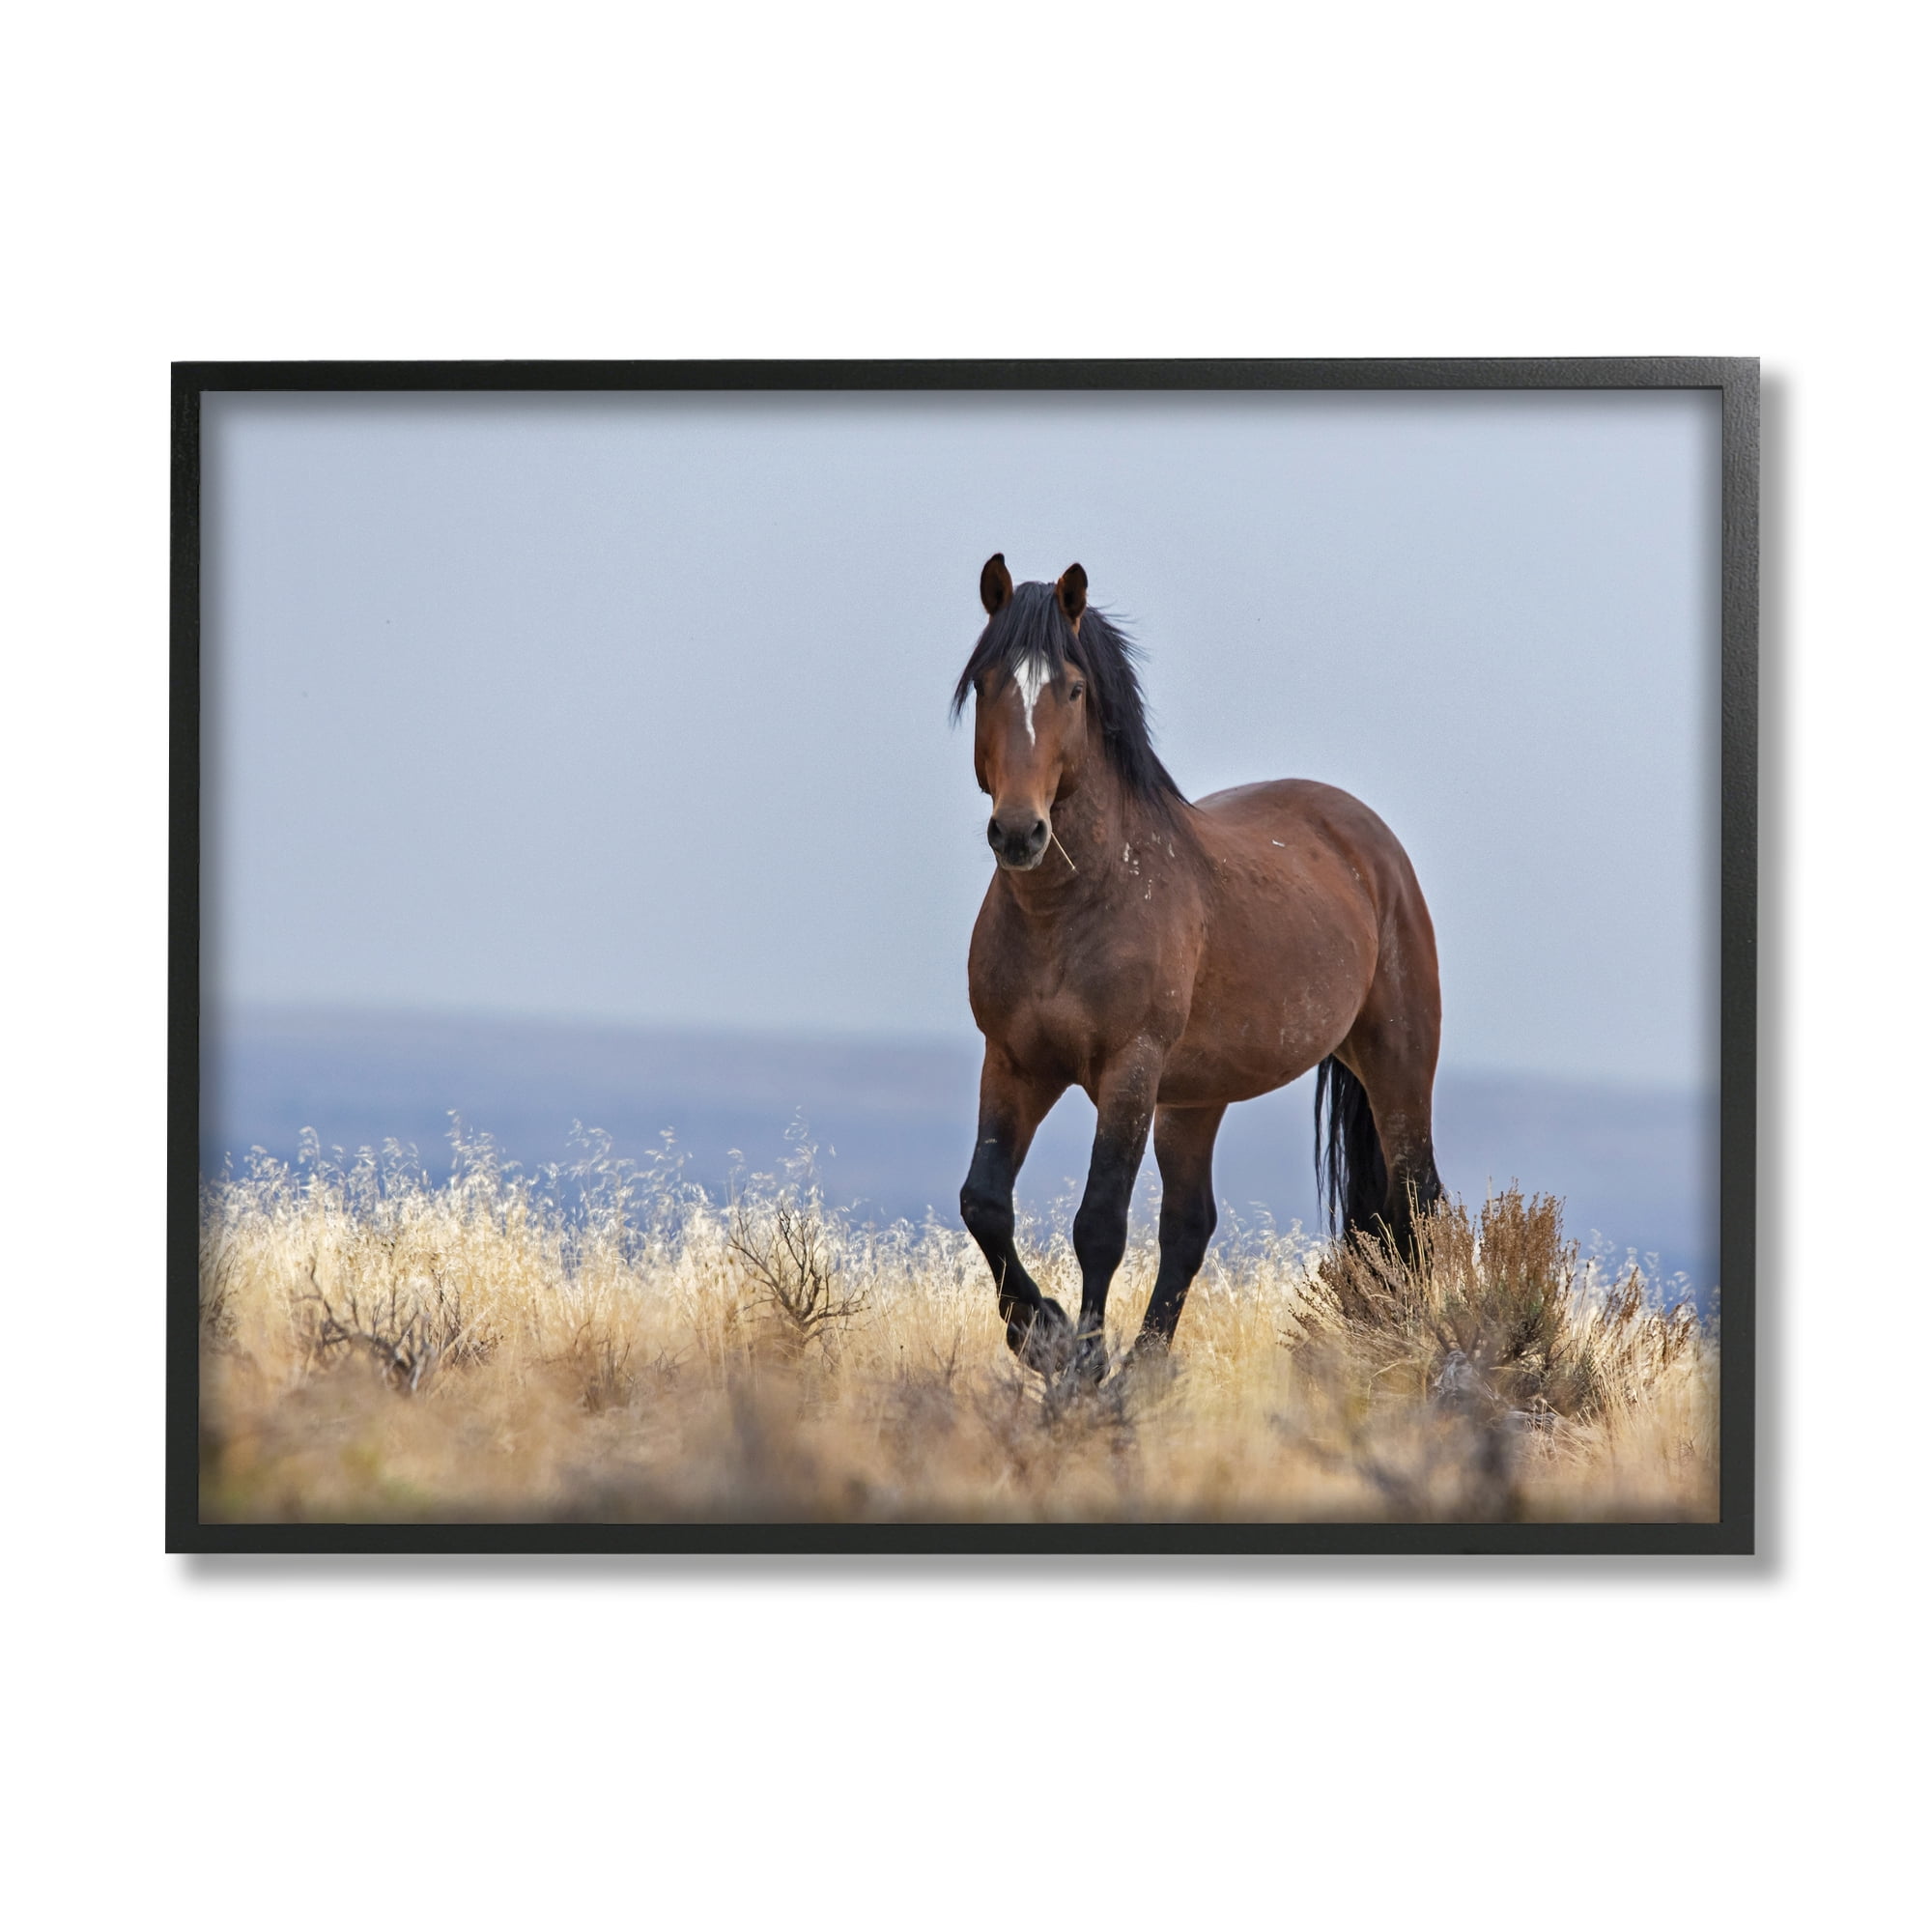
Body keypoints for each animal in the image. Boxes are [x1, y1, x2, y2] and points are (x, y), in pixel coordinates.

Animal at [955, 553, 1445, 1385]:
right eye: (987, 682)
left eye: (1072, 689)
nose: (1020, 832)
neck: (1071, 909)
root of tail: (1372, 844)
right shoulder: (1013, 1062)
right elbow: (984, 1201)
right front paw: (1042, 1332)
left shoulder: (1130, 1070)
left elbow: (1100, 1222)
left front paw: (1083, 1365)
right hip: (1195, 1098)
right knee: (1190, 1226)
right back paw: (1148, 1371)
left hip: (1397, 1066)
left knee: (1415, 1204)